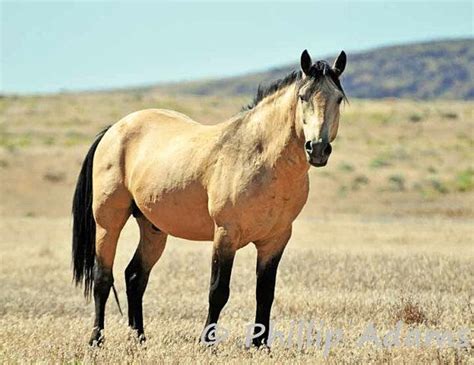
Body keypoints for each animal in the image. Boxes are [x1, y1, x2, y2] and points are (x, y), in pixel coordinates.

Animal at [72, 49, 346, 346]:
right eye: (303, 96)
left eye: (338, 98)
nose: (317, 148)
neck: (259, 158)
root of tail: (115, 129)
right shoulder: (226, 234)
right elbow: (218, 291)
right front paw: (207, 343)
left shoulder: (275, 239)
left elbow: (265, 294)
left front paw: (259, 345)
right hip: (108, 223)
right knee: (102, 278)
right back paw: (96, 340)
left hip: (153, 228)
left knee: (135, 277)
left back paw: (140, 339)